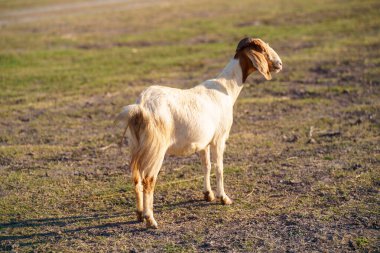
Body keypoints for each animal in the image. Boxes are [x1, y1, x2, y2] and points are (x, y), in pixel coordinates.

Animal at [116, 37, 282, 229]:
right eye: (262, 49)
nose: (279, 63)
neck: (226, 88)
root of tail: (140, 107)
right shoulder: (219, 138)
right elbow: (219, 167)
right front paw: (224, 198)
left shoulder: (204, 143)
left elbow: (206, 166)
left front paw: (208, 194)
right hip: (155, 148)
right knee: (148, 180)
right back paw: (150, 219)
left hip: (135, 145)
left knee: (136, 177)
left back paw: (139, 214)